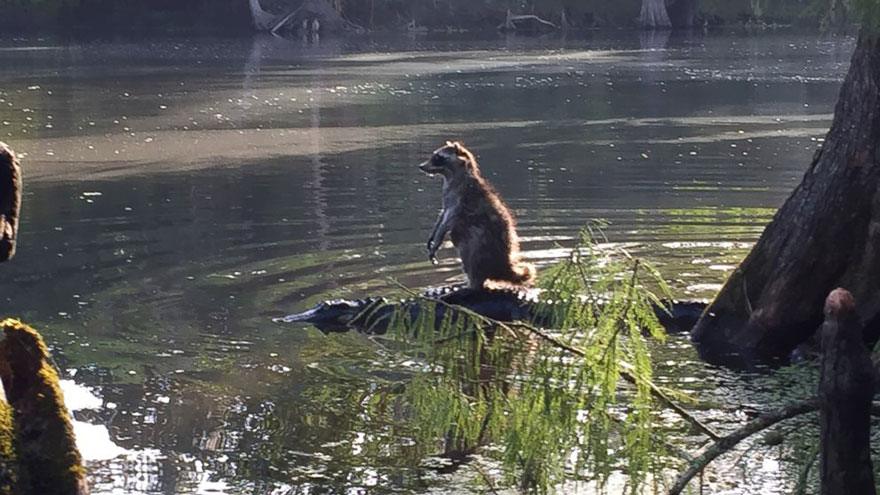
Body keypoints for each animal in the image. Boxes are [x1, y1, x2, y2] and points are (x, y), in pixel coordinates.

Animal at [419, 141, 536, 289]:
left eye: (437, 157)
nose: (421, 166)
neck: (451, 176)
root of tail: (503, 267)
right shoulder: (448, 195)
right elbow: (443, 214)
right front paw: (433, 235)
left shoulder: (461, 196)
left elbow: (449, 219)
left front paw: (437, 240)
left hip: (483, 245)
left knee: (472, 250)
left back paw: (473, 283)